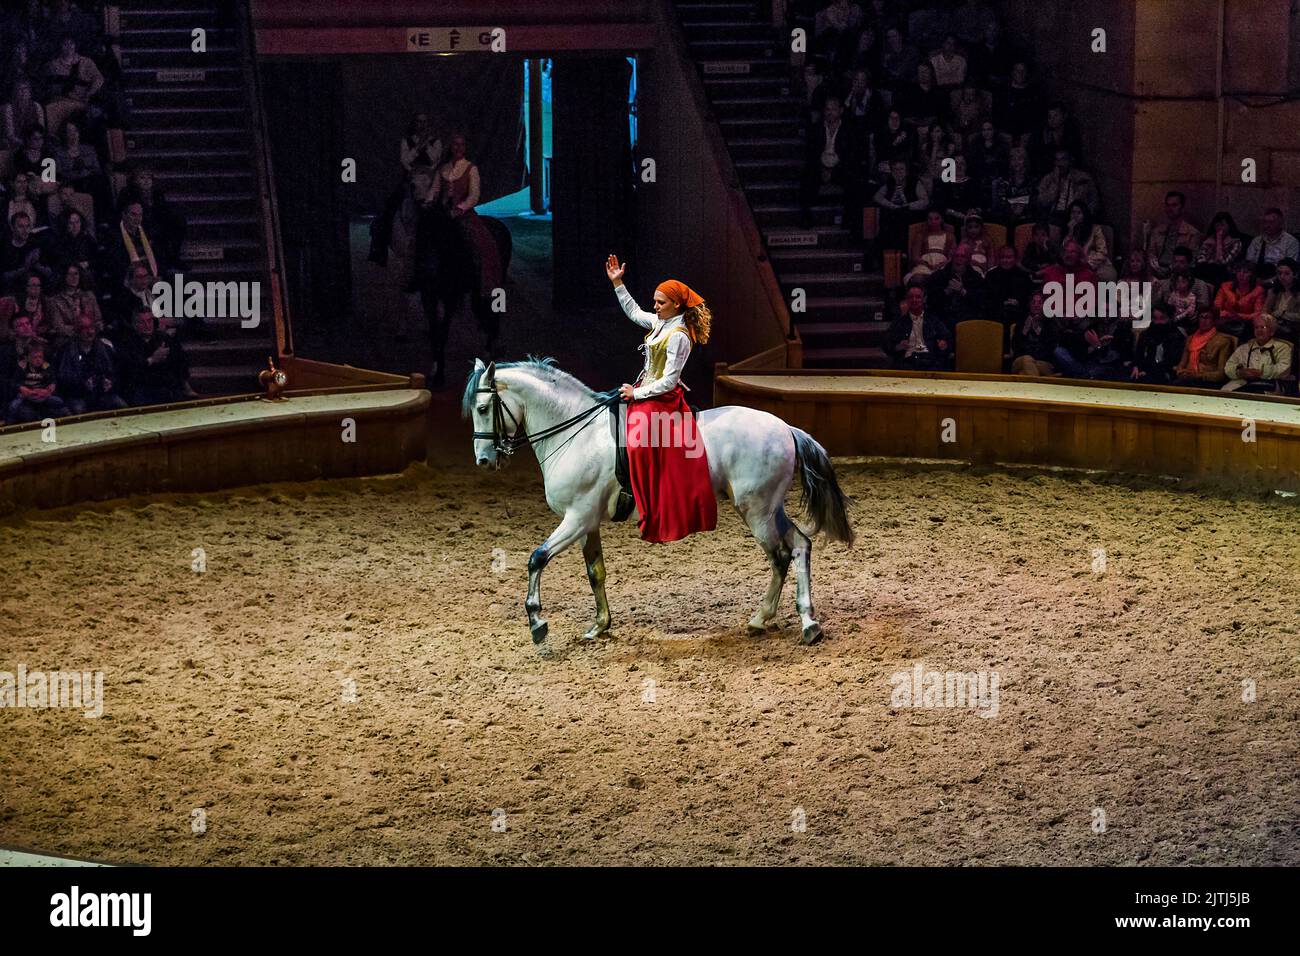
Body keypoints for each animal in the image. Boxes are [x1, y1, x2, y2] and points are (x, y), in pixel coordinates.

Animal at [463, 357, 854, 647]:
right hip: (771, 509)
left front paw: (537, 623)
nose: (483, 460)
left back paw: (772, 620)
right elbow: (595, 572)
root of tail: (786, 427)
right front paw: (599, 625)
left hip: (757, 511)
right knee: (800, 545)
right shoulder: (587, 523)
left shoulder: (576, 518)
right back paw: (802, 622)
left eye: (483, 407)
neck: (577, 434)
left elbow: (537, 558)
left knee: (781, 556)